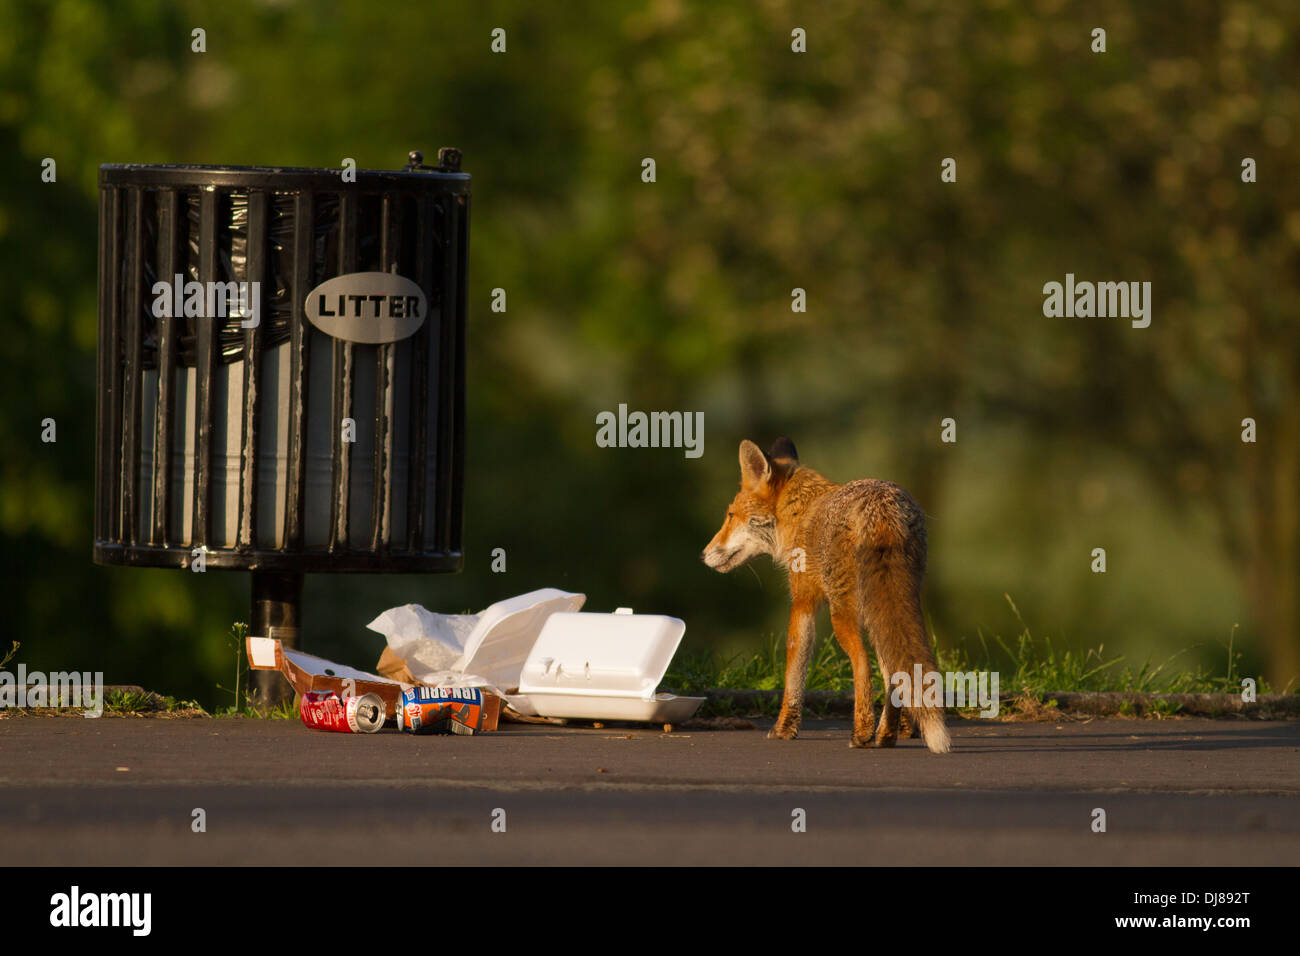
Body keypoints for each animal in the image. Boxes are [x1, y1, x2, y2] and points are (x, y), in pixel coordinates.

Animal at [702, 442, 956, 754]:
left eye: (730, 515)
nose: (703, 554)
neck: (799, 514)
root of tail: (881, 506)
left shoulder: (802, 601)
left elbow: (794, 673)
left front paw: (784, 728)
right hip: (890, 604)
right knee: (892, 670)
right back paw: (885, 735)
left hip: (842, 612)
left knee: (863, 665)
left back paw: (862, 733)